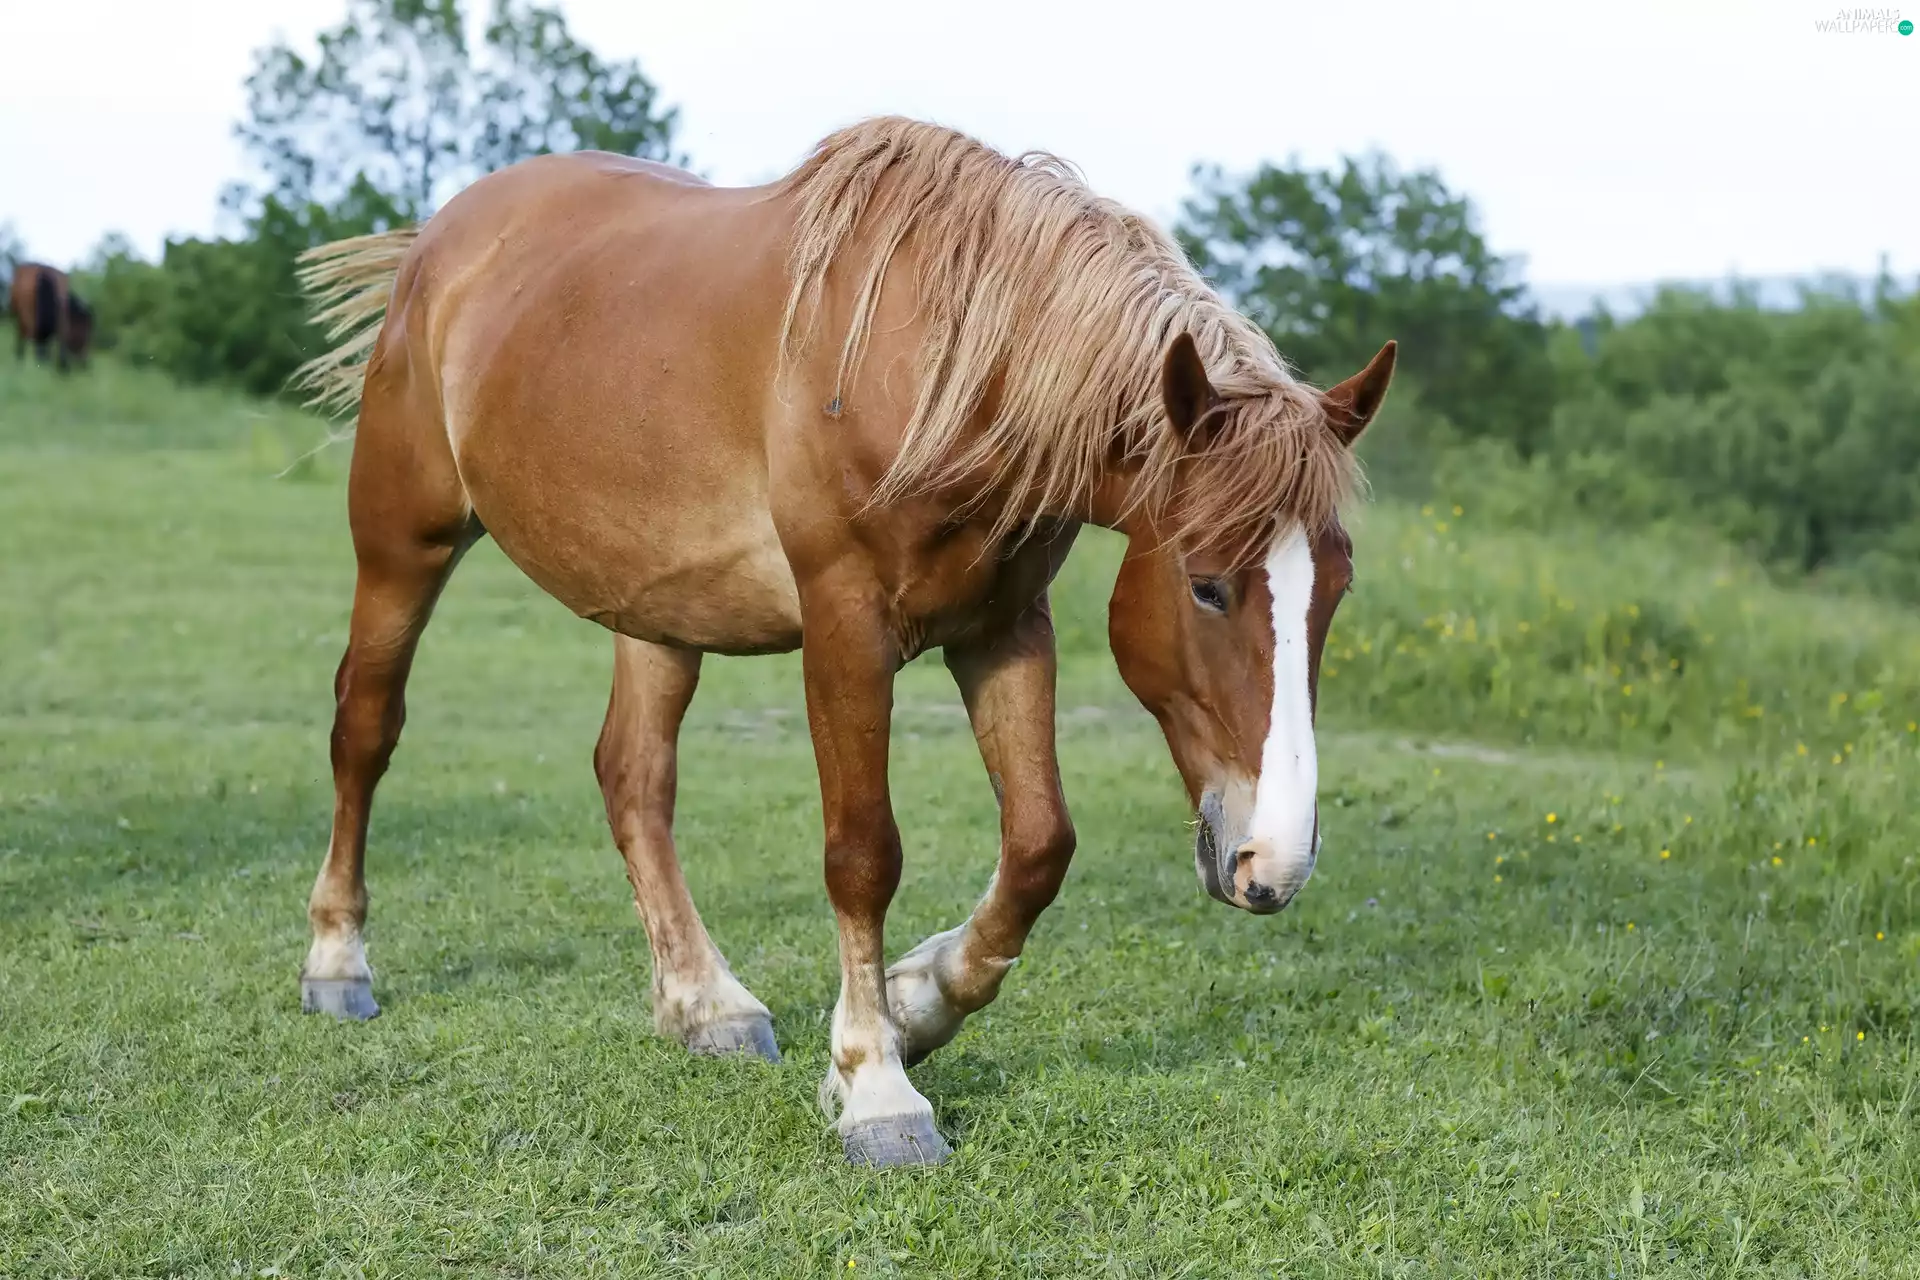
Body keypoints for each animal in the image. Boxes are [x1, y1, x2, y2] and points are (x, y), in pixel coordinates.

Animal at [292, 116, 1396, 1168]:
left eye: (1335, 590)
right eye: (1207, 586)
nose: (1274, 862)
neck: (950, 369)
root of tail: (438, 242)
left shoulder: (1004, 628)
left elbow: (1040, 844)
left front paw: (919, 1006)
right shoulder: (844, 628)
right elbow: (863, 853)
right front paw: (876, 1086)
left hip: (657, 608)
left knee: (634, 776)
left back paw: (706, 1001)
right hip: (403, 544)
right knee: (365, 728)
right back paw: (338, 963)